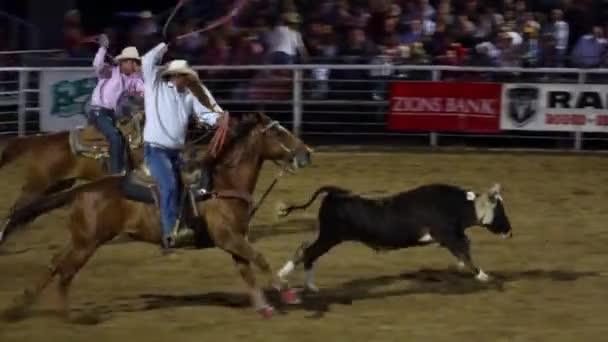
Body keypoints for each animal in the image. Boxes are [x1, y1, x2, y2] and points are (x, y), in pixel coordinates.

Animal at [4, 112, 316, 320]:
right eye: (279, 134)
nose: (307, 153)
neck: (222, 183)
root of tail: (84, 189)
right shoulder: (229, 237)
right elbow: (259, 259)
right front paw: (286, 291)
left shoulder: (234, 239)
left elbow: (247, 270)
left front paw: (264, 305)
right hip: (86, 242)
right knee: (65, 271)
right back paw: (68, 316)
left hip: (81, 238)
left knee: (55, 263)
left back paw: (18, 307)